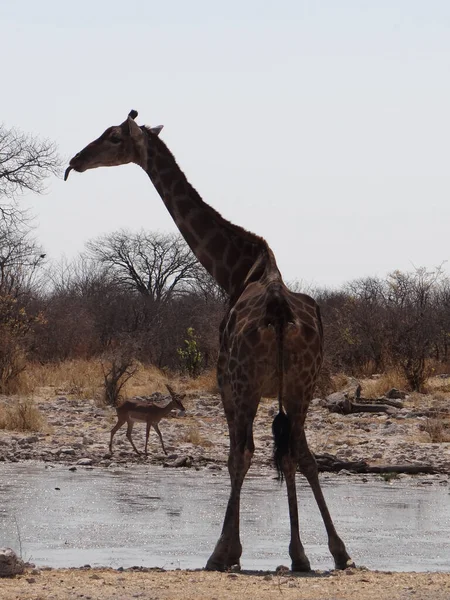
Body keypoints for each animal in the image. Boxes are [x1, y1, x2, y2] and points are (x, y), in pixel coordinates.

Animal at [65, 111, 354, 572]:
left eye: (112, 137)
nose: (76, 160)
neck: (234, 270)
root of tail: (279, 312)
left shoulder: (224, 382)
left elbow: (238, 456)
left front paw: (230, 550)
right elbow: (288, 457)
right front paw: (300, 554)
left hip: (243, 383)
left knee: (247, 453)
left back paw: (222, 551)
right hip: (302, 386)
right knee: (300, 453)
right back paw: (333, 552)